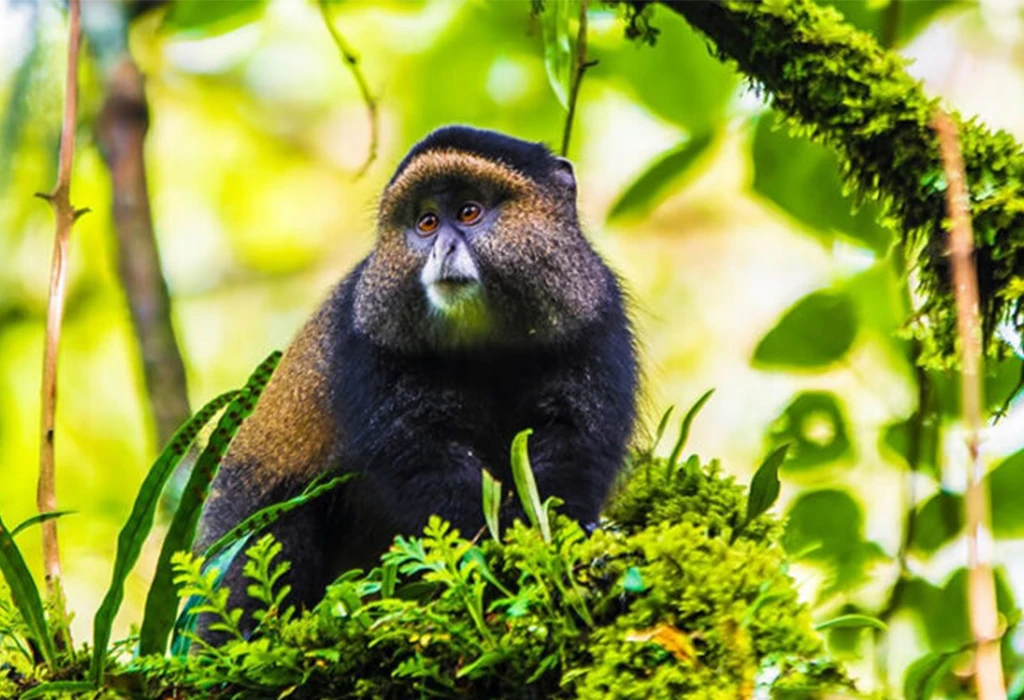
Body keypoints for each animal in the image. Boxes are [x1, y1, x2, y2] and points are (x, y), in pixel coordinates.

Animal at [195, 125, 639, 637]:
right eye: (426, 222)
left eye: (468, 212)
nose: (442, 248)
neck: (485, 345)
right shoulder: (370, 345)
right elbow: (423, 460)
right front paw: (487, 554)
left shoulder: (595, 324)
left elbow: (572, 443)